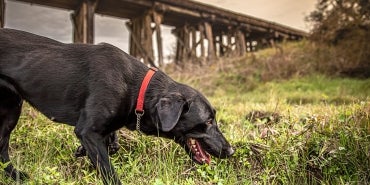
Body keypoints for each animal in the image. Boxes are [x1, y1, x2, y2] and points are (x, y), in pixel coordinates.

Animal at [0, 28, 234, 184]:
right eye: (208, 121)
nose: (231, 151)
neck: (137, 90)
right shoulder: (87, 131)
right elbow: (109, 171)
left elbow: (113, 145)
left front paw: (82, 150)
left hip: (11, 109)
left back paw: (15, 175)